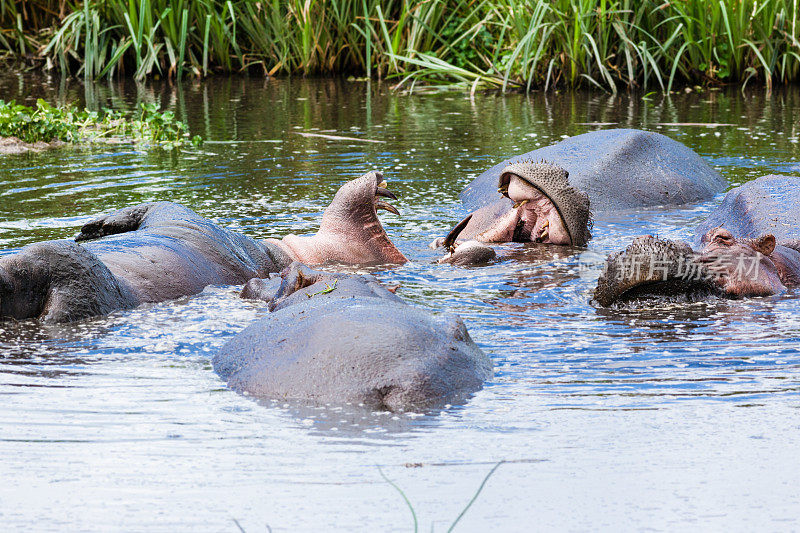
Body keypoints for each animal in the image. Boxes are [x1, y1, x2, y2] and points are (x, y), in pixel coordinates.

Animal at [0, 170, 404, 322]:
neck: (277, 255)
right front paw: (92, 228)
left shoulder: (177, 212)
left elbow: (152, 204)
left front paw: (93, 227)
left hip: (80, 283)